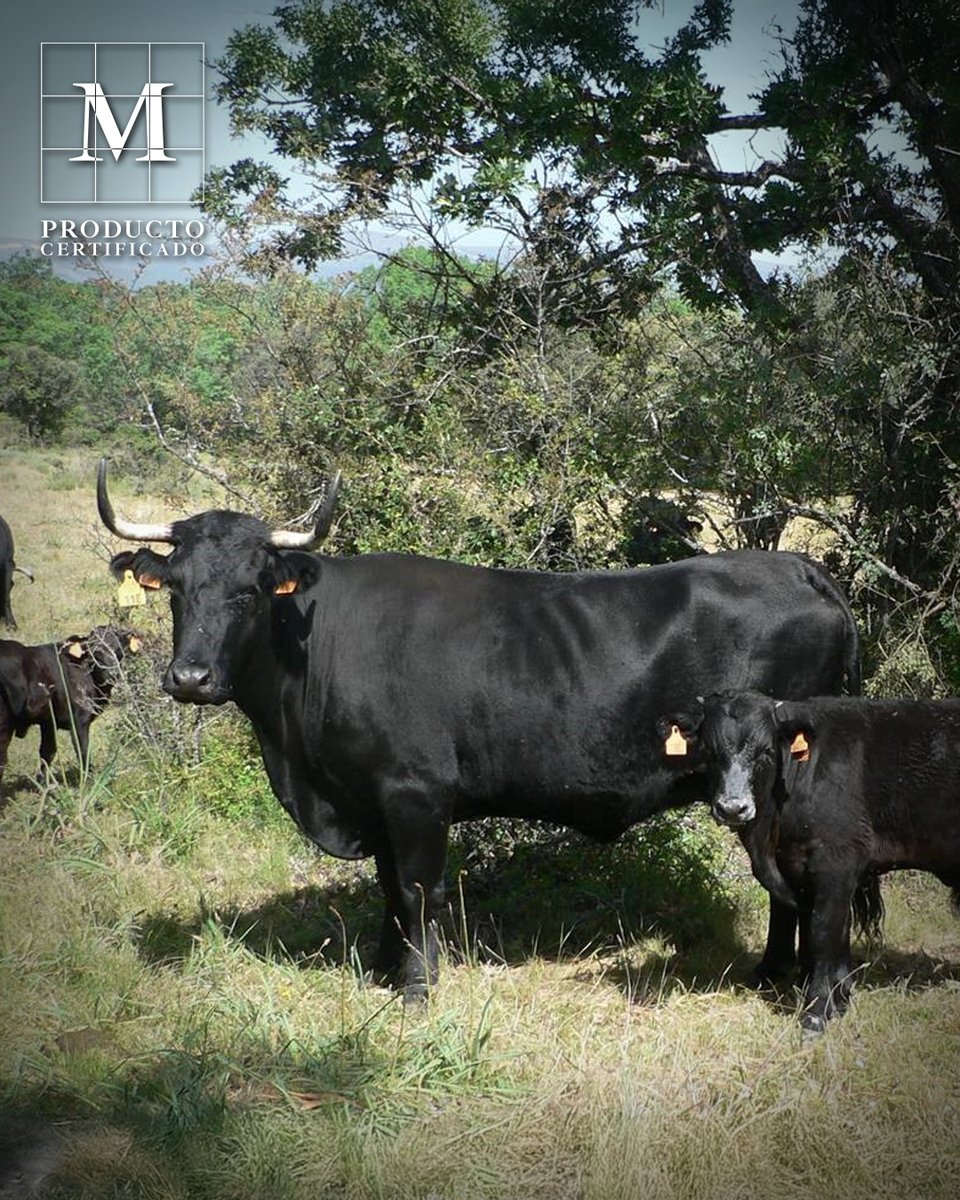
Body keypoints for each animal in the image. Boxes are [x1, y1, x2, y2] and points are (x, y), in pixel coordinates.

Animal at [0, 626, 140, 788]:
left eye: (119, 649)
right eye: (96, 652)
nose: (112, 673)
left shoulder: (49, 721)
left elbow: (47, 752)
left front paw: (43, 785)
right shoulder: (79, 721)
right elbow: (83, 750)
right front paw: (89, 782)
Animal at [96, 458, 862, 1000]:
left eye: (250, 590)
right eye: (175, 588)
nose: (190, 677)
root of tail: (800, 568)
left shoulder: (414, 794)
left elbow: (415, 890)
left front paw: (415, 988)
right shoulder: (375, 800)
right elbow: (388, 889)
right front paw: (386, 971)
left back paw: (778, 975)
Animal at [659, 690, 960, 1032]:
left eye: (766, 751)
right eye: (709, 752)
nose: (733, 808)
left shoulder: (836, 865)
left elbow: (822, 932)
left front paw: (816, 1010)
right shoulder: (801, 871)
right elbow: (830, 934)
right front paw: (839, 997)